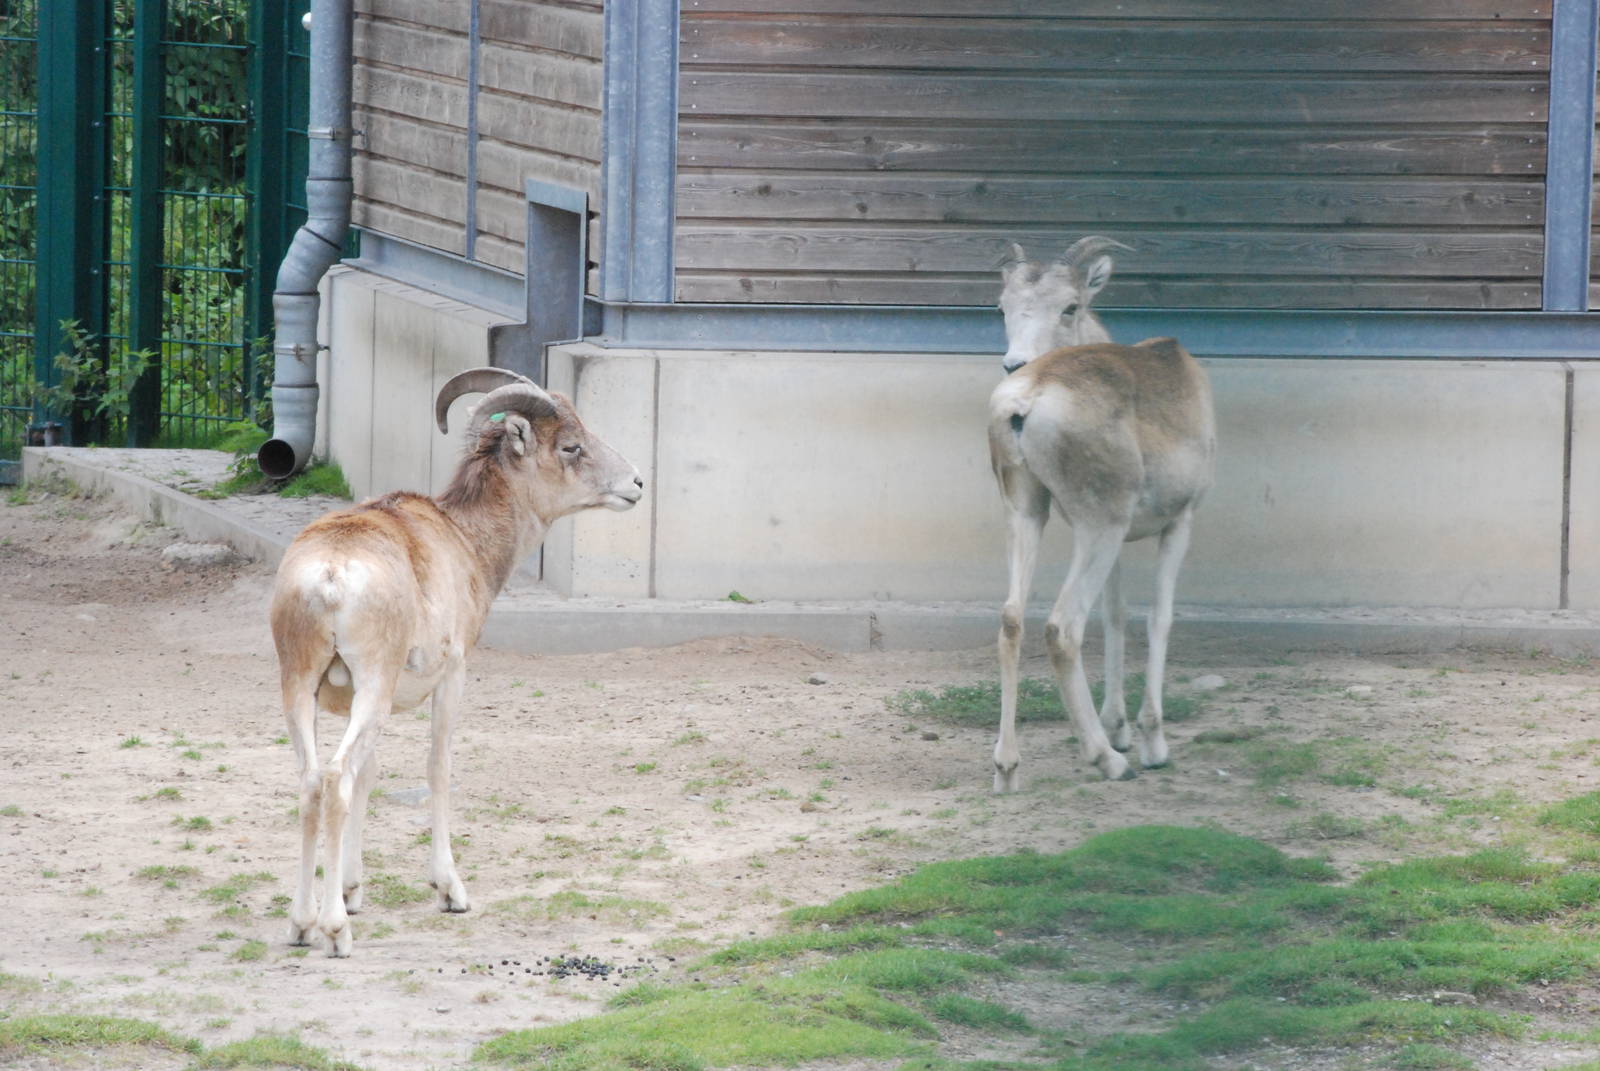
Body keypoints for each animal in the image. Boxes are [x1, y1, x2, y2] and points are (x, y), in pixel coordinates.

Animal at [269, 366, 643, 956]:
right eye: (571, 446)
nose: (635, 483)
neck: (464, 541)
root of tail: (329, 577)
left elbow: (371, 775)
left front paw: (352, 890)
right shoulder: (452, 678)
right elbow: (436, 770)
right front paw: (450, 891)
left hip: (300, 688)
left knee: (312, 782)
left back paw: (302, 924)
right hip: (371, 690)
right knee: (335, 780)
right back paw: (335, 932)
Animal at [988, 238, 1216, 788]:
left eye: (1070, 306)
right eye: (1002, 307)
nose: (1014, 362)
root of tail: (1025, 403)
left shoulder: (1113, 538)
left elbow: (1116, 616)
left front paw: (1119, 729)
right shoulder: (1178, 523)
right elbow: (1159, 617)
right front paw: (1151, 743)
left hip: (1029, 514)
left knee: (1012, 618)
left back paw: (1007, 767)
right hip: (1099, 529)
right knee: (1062, 627)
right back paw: (1108, 761)